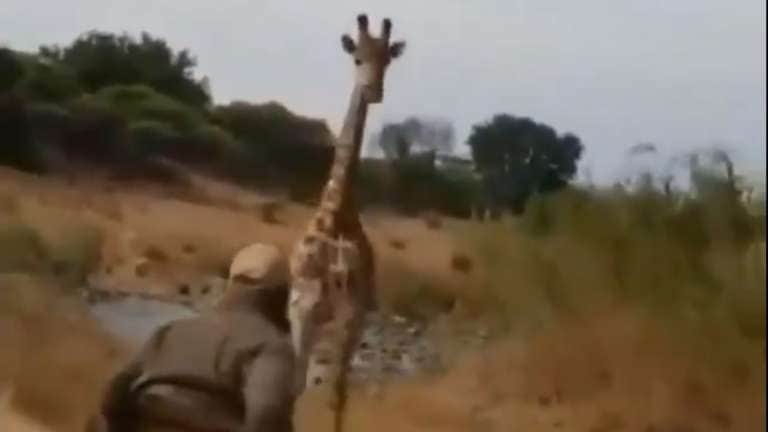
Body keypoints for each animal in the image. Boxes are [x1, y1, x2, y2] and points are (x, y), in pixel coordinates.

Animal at [287, 12, 406, 432]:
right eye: (357, 58)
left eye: (387, 61)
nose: (373, 90)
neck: (336, 213)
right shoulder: (304, 306)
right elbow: (305, 384)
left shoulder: (350, 312)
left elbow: (334, 392)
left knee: (334, 387)